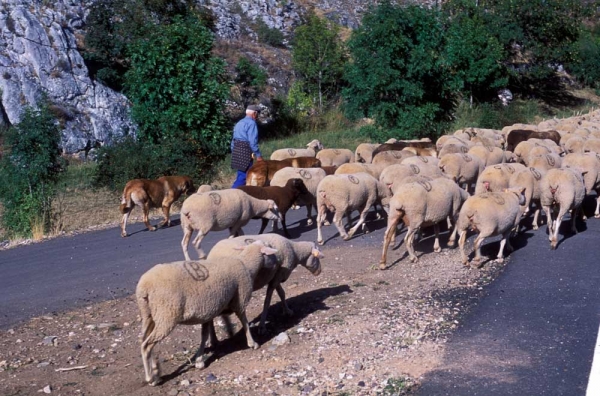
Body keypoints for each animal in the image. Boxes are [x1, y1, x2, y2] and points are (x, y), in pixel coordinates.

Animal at [136, 240, 276, 386]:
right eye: (269, 249)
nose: (277, 262)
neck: (246, 265)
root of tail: (144, 286)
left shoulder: (208, 310)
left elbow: (204, 335)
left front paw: (199, 360)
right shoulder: (240, 300)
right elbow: (245, 322)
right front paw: (253, 343)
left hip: (149, 315)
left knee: (143, 340)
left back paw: (155, 371)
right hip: (166, 315)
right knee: (147, 345)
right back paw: (150, 378)